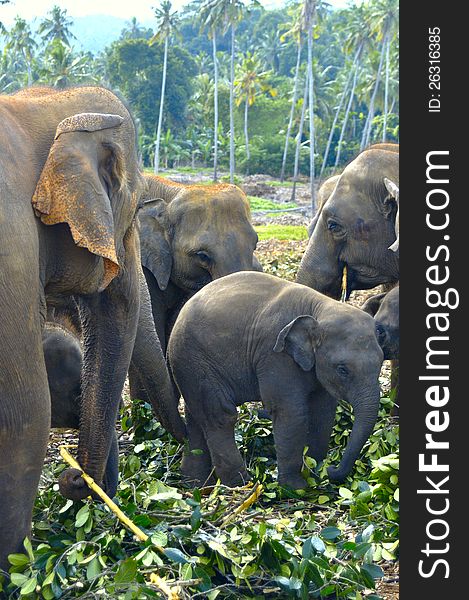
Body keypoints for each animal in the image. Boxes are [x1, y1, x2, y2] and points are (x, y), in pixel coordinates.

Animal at [0, 85, 181, 568]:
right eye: (133, 214)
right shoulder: (11, 253)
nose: (73, 479)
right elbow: (26, 412)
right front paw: (19, 569)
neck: (41, 104)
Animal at [168, 272, 384, 488]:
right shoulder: (274, 355)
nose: (332, 468)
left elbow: (323, 412)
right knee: (219, 415)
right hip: (195, 360)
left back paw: (196, 484)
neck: (320, 307)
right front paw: (296, 488)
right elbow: (291, 413)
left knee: (197, 416)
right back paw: (241, 484)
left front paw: (314, 475)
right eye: (342, 370)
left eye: (381, 362)